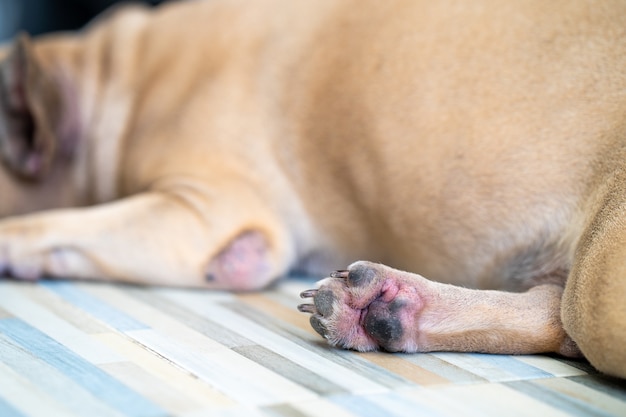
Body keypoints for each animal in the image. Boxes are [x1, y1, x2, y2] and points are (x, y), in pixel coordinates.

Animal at [1, 0, 624, 376]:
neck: (115, 78)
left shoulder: (205, 214)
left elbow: (46, 224)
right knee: (549, 313)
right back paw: (391, 308)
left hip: (598, 281)